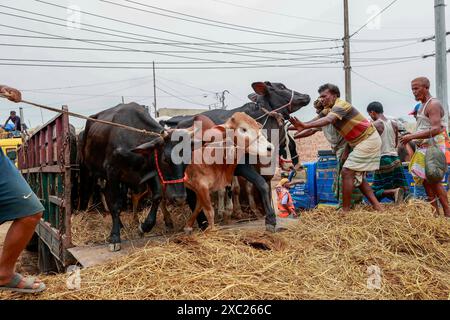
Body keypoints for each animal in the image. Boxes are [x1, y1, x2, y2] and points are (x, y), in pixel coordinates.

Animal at [79, 104, 186, 251]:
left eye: (188, 159)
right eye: (165, 159)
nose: (180, 198)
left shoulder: (151, 173)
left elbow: (157, 197)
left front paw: (144, 226)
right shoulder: (112, 172)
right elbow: (116, 204)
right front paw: (114, 237)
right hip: (92, 171)